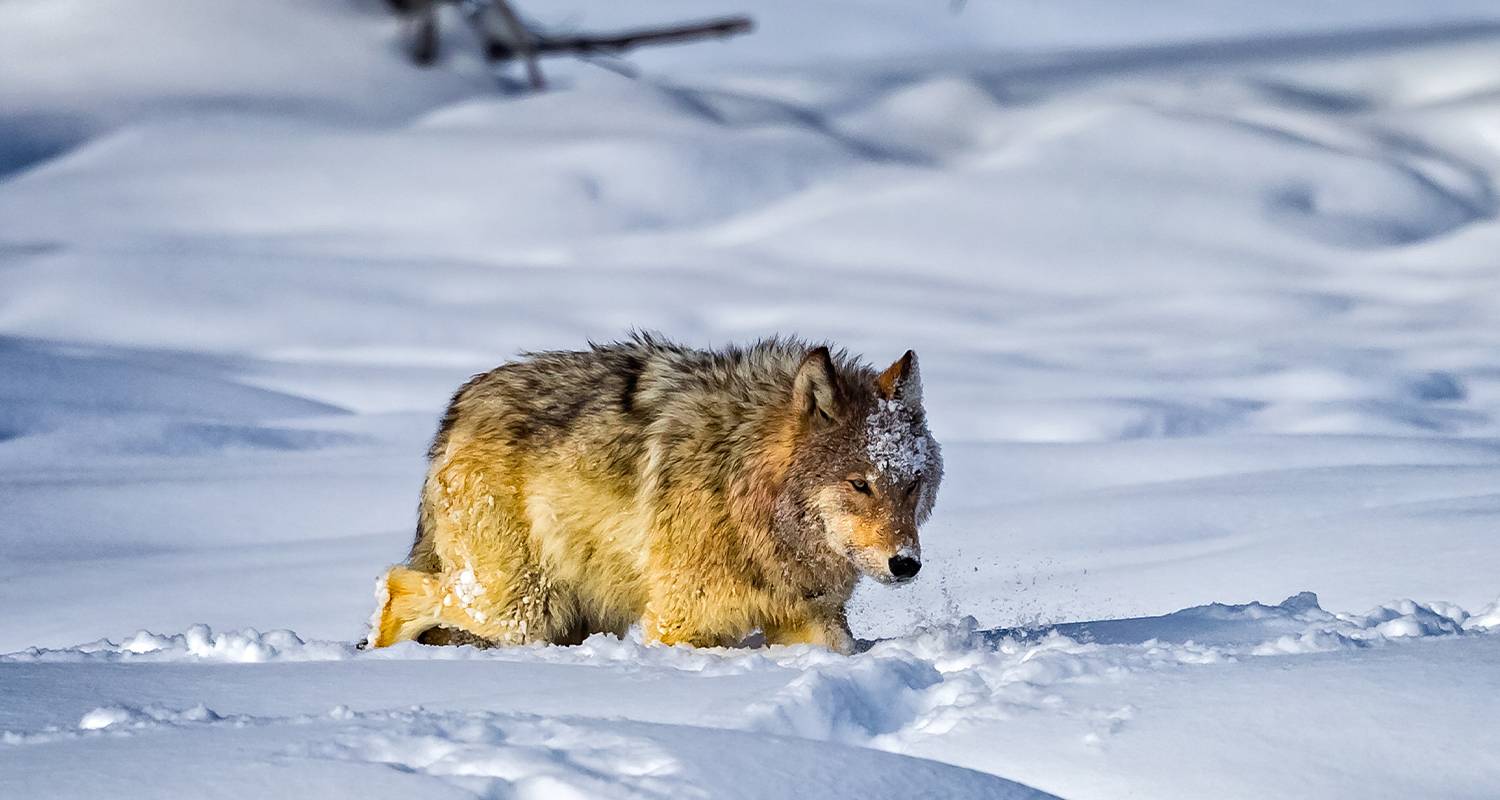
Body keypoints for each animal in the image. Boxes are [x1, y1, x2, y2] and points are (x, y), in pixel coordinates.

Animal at [364, 333, 942, 651]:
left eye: (911, 485)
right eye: (860, 484)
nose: (906, 564)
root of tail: (460, 406)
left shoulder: (810, 621)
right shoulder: (683, 626)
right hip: (520, 607)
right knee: (396, 584)